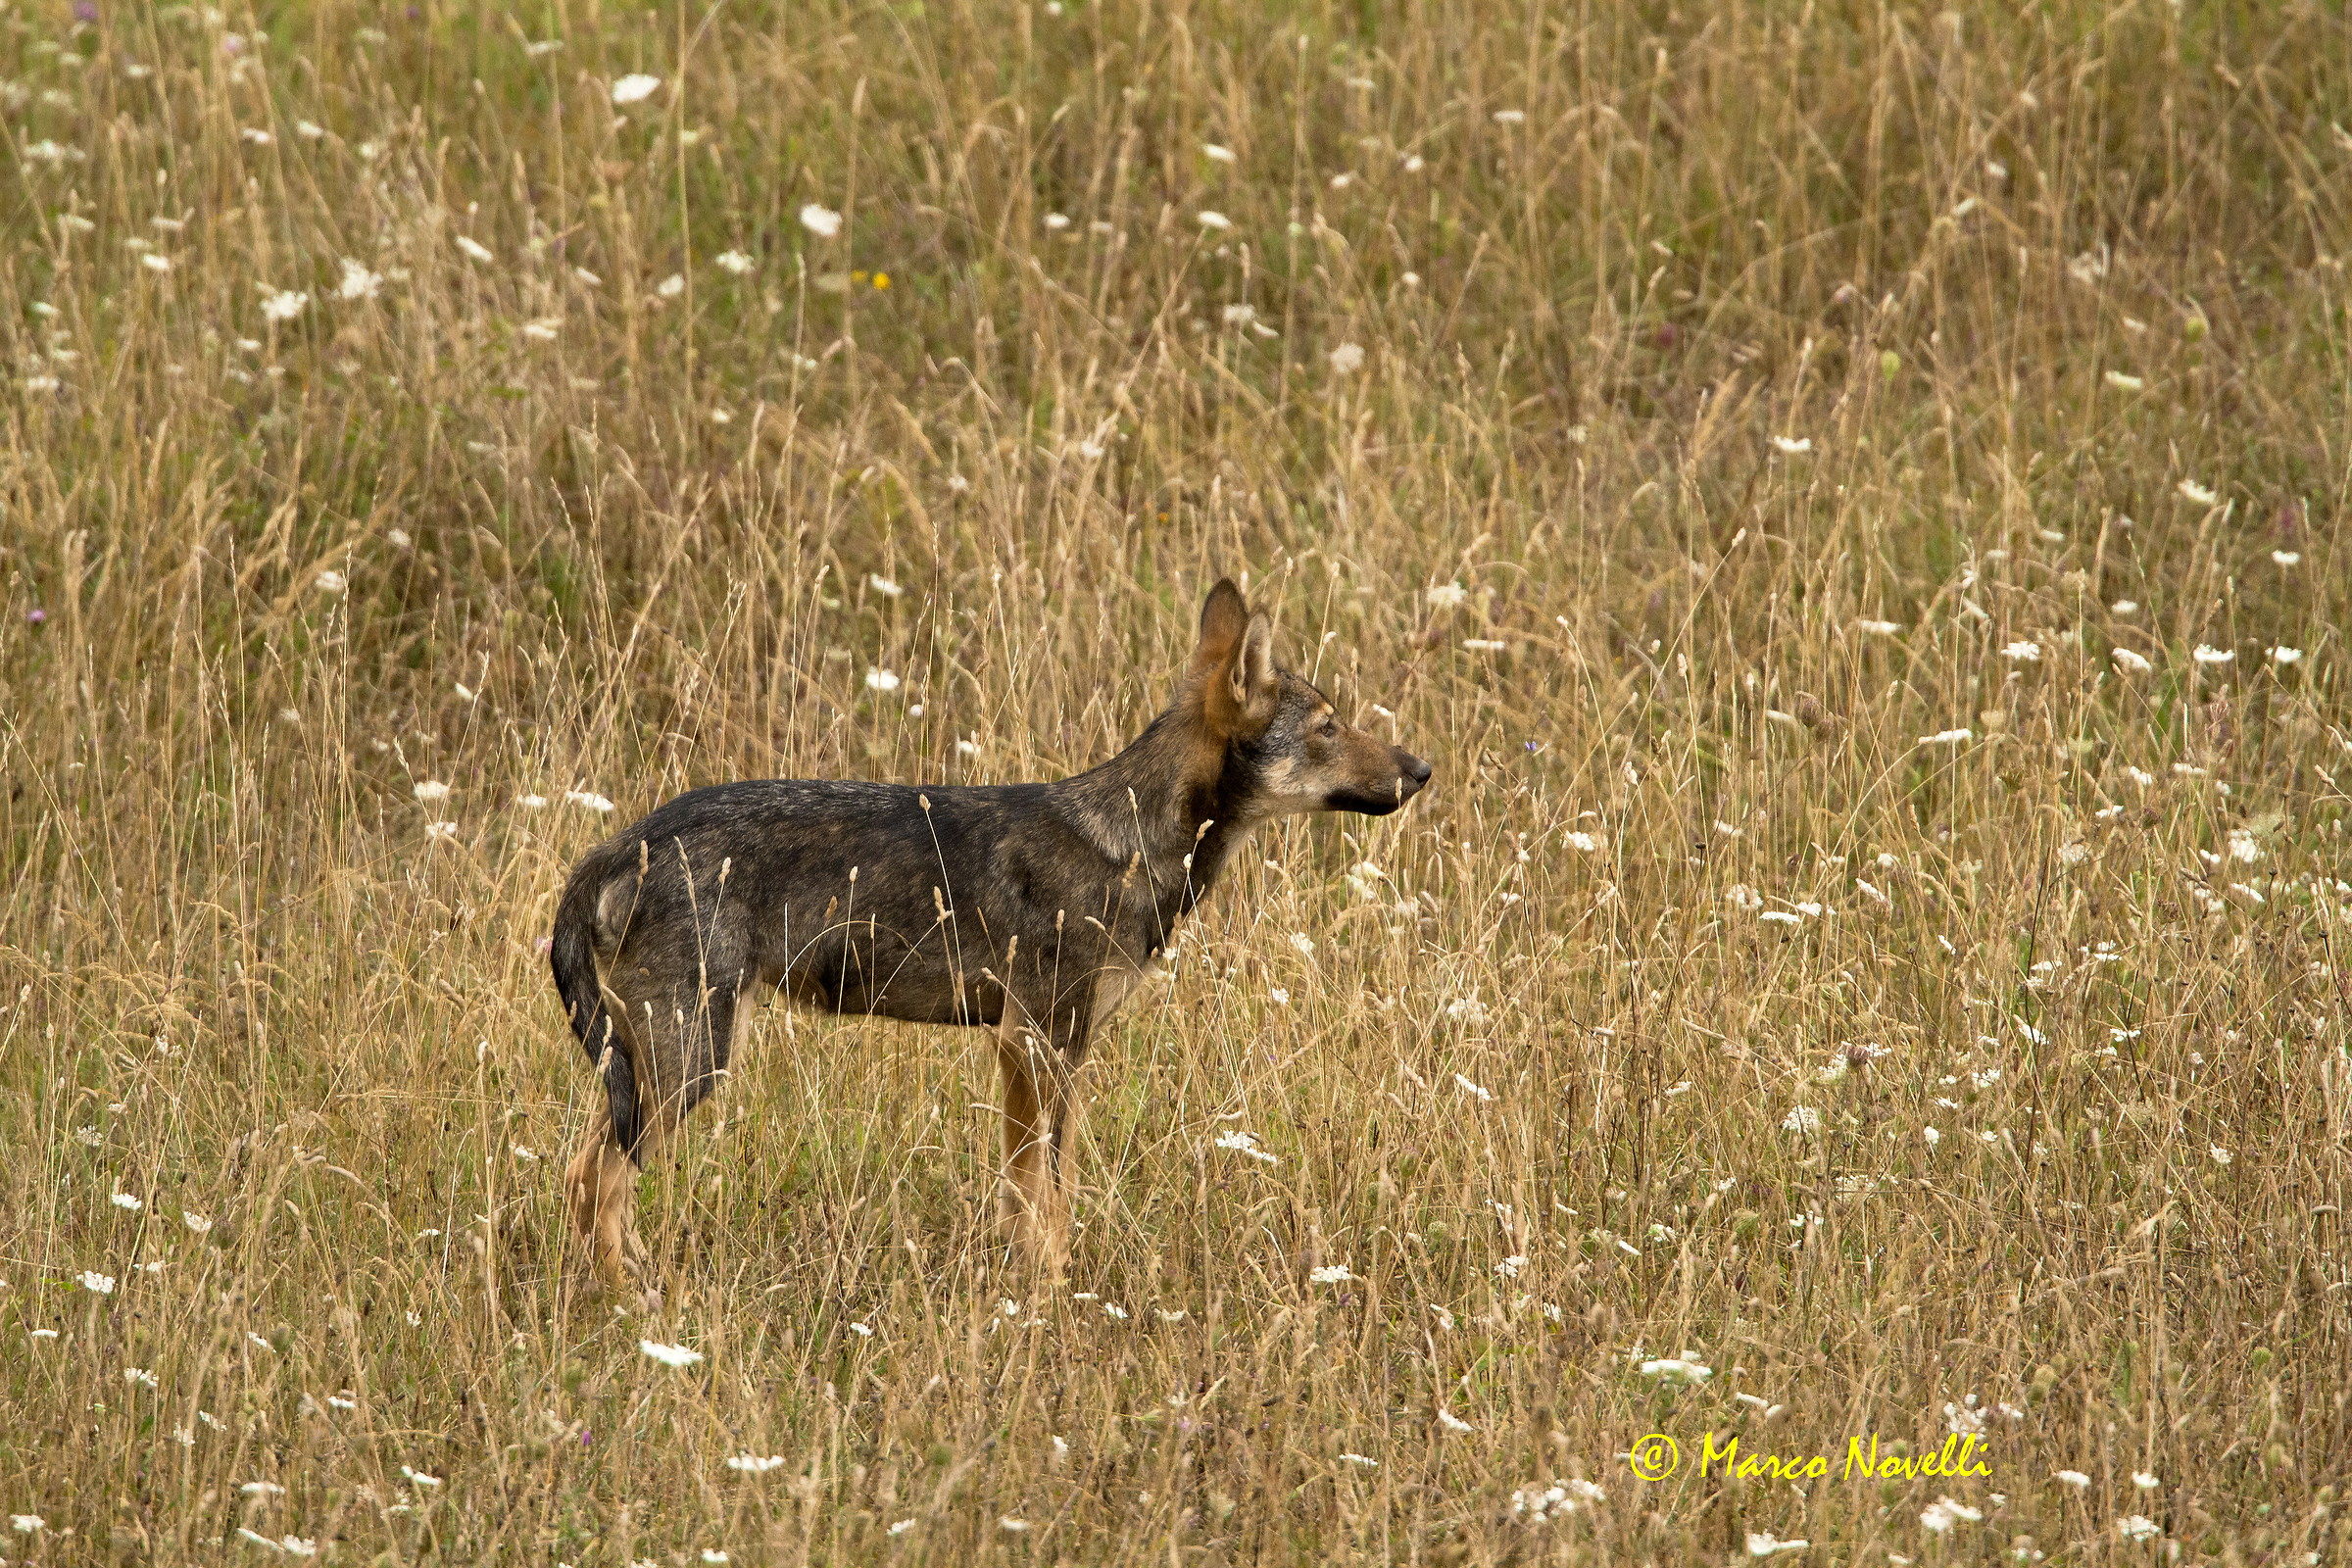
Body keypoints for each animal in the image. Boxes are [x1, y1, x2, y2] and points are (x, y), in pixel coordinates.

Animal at [552, 579, 1431, 1297]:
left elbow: (1031, 1198)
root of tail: (620, 843)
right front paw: (1054, 1303)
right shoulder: (1037, 1043)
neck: (1128, 843)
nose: (1421, 770)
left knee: (586, 1176)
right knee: (595, 1179)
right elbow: (1045, 1202)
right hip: (690, 1063)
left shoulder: (1037, 1053)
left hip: (661, 1064)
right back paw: (630, 1303)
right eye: (1328, 727)